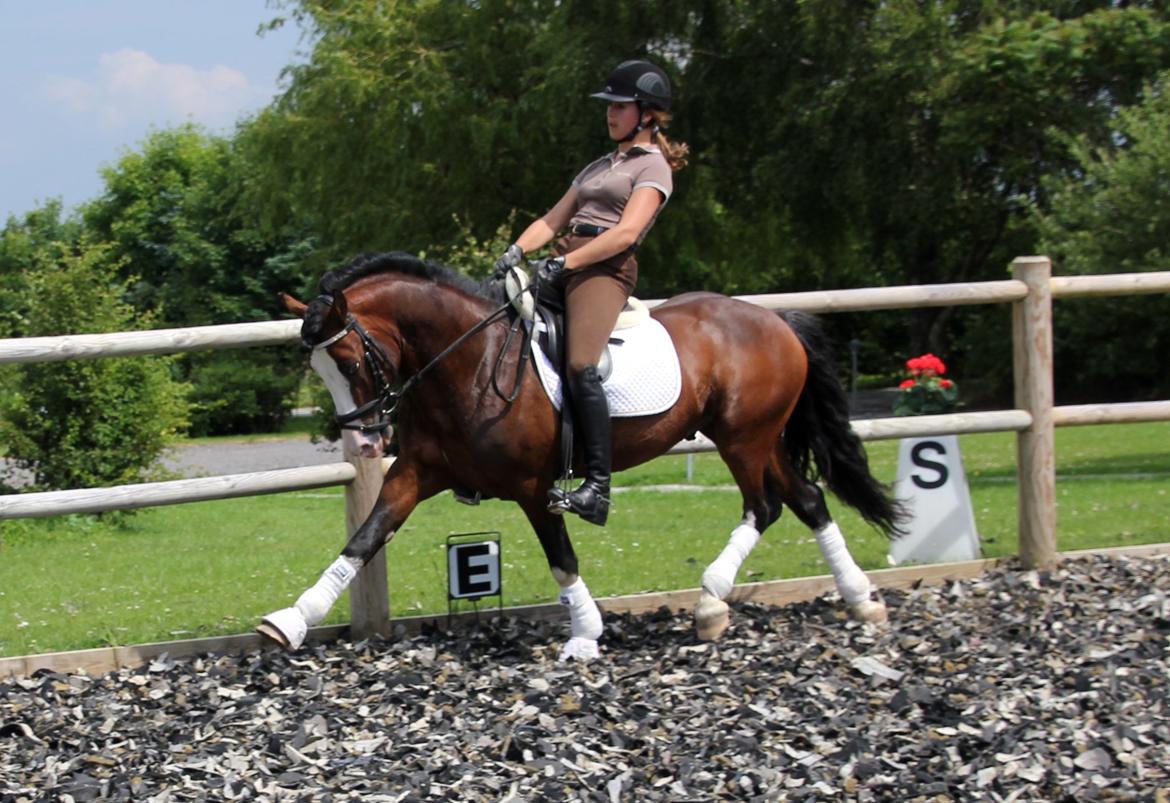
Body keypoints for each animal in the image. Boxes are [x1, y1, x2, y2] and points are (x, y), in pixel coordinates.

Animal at [258, 251, 905, 660]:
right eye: (318, 370)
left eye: (347, 363)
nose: (366, 441)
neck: (468, 362)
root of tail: (775, 319)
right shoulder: (417, 474)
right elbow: (364, 538)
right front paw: (289, 621)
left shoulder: (532, 486)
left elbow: (561, 556)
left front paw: (585, 633)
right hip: (757, 438)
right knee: (807, 498)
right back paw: (858, 601)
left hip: (743, 439)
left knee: (764, 506)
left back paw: (711, 604)